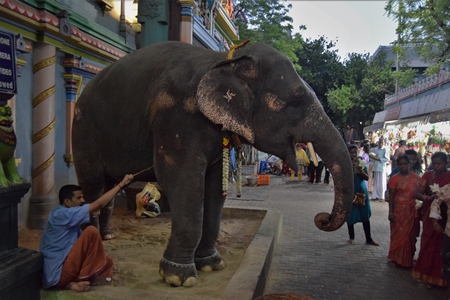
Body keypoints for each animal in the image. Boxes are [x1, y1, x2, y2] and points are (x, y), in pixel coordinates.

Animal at [73, 41, 356, 288]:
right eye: (297, 100)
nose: (322, 218)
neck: (224, 60)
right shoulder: (176, 117)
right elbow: (183, 183)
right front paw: (178, 278)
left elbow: (214, 186)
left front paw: (212, 265)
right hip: (83, 130)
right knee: (93, 186)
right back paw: (91, 240)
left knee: (108, 190)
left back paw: (106, 236)